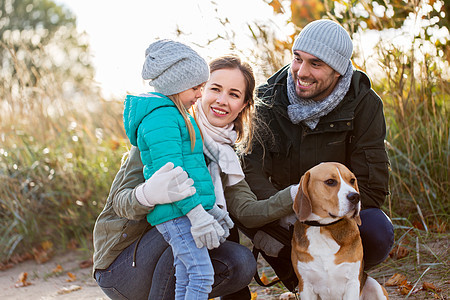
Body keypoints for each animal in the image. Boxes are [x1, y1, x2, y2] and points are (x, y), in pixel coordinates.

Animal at [292, 163, 386, 298]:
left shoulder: (352, 282)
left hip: (375, 286)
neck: (323, 227)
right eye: (330, 181)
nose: (355, 196)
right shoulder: (305, 285)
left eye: (352, 180)